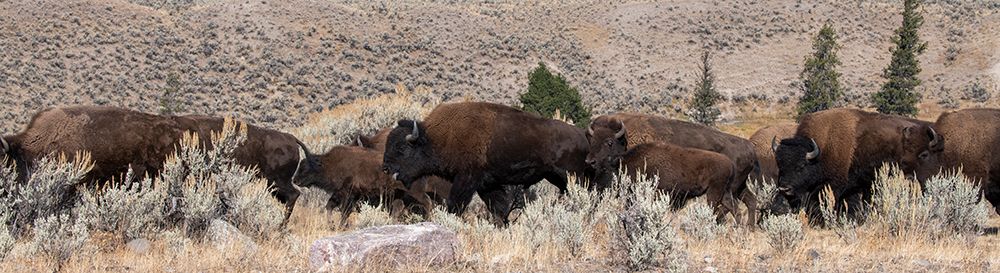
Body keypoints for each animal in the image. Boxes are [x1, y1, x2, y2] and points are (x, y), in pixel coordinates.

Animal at [378, 100, 588, 219]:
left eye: (401, 147)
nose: (385, 168)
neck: (436, 138)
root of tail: (582, 135)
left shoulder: (467, 179)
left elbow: (455, 204)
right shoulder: (487, 184)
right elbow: (498, 207)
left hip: (571, 176)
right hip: (556, 178)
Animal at [584, 113, 756, 224]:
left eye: (609, 142)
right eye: (591, 140)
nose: (590, 161)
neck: (626, 141)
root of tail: (749, 146)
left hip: (729, 188)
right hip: (739, 187)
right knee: (750, 201)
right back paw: (749, 228)